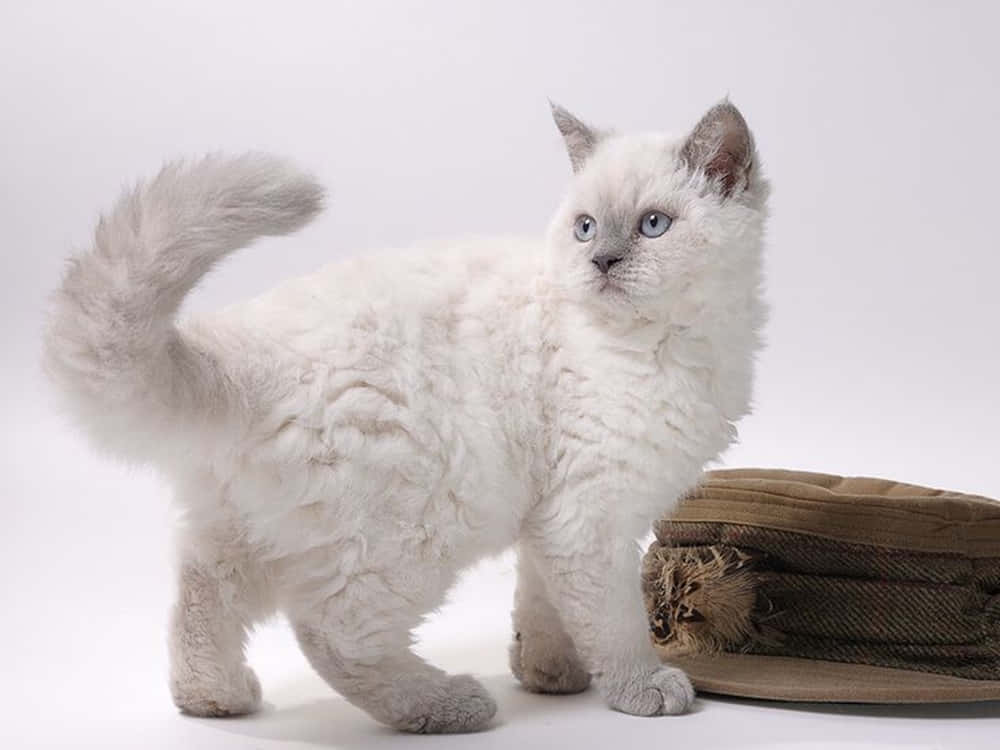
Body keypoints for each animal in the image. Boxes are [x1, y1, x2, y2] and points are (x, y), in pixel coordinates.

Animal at [43, 100, 768, 736]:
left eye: (653, 225)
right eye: (586, 226)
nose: (602, 262)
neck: (673, 343)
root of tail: (239, 351)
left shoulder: (551, 517)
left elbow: (544, 605)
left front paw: (549, 675)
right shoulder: (589, 515)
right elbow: (612, 621)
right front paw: (640, 689)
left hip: (242, 530)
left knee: (202, 598)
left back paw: (216, 699)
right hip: (417, 524)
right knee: (331, 633)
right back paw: (448, 704)